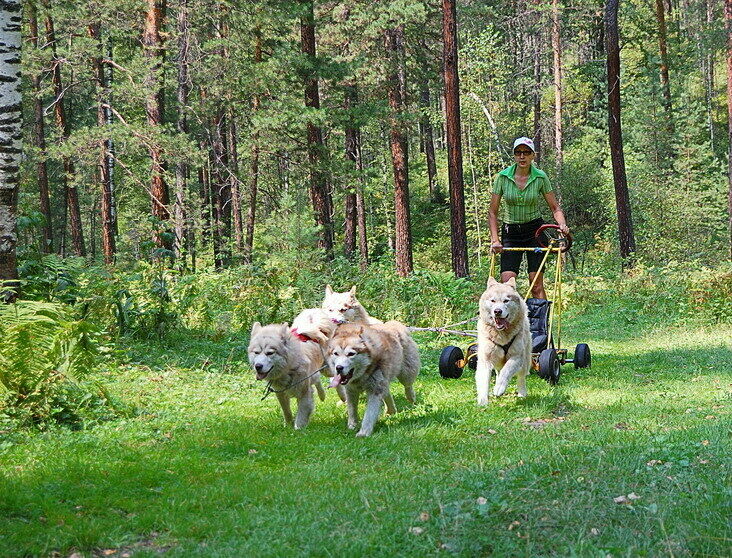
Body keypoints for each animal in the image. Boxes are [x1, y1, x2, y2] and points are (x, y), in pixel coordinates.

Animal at [474, 278, 532, 406]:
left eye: (506, 301)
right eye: (493, 300)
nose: (497, 311)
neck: (501, 334)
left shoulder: (517, 357)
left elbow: (507, 371)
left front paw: (500, 387)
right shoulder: (485, 360)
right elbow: (484, 382)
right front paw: (483, 402)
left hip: (525, 360)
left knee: (521, 377)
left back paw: (522, 393)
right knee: (498, 371)